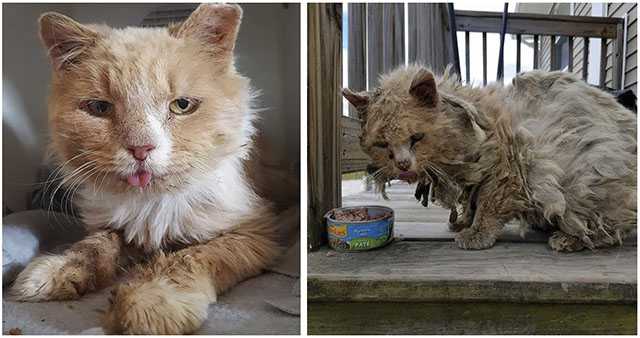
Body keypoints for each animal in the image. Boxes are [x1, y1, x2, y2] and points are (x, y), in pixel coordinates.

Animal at [10, 3, 300, 336]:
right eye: (99, 108)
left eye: (182, 106)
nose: (141, 149)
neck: (152, 204)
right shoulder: (111, 226)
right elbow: (92, 247)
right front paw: (55, 271)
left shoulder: (254, 231)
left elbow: (189, 258)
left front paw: (148, 302)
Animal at [344, 64, 636, 252]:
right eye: (382, 145)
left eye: (416, 138)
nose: (403, 165)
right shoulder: (478, 179)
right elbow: (471, 203)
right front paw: (463, 223)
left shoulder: (506, 173)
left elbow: (487, 208)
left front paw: (476, 235)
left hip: (587, 180)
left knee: (607, 229)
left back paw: (567, 239)